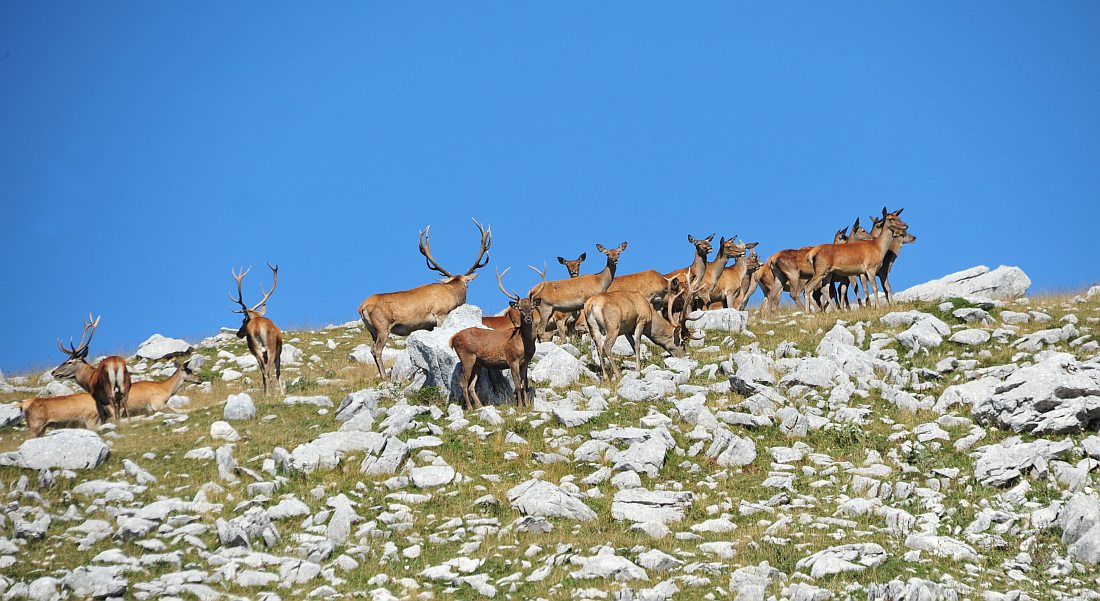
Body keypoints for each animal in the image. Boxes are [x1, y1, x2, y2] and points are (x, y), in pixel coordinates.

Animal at [358, 217, 492, 376]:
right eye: (468, 285)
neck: (452, 294)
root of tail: (362, 307)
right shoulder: (441, 314)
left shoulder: (428, 326)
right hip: (383, 326)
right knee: (376, 349)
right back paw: (384, 376)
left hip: (372, 330)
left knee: (372, 349)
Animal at [451, 265, 545, 409]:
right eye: (520, 309)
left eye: (532, 307)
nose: (528, 319)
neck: (523, 344)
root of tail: (453, 338)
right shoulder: (512, 359)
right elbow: (517, 384)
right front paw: (520, 406)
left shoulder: (525, 362)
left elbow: (525, 384)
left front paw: (528, 405)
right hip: (466, 356)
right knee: (463, 383)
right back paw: (471, 408)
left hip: (477, 363)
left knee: (472, 385)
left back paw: (481, 406)